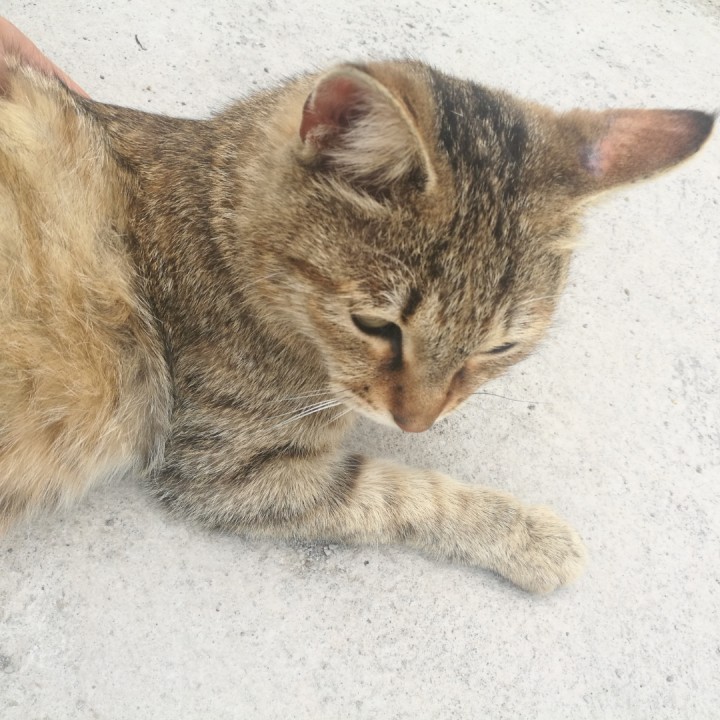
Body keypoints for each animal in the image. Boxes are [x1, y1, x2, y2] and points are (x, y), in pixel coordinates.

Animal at [0, 56, 713, 593]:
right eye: (375, 325)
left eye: (501, 346)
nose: (418, 423)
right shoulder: (232, 472)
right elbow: (407, 495)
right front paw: (527, 534)